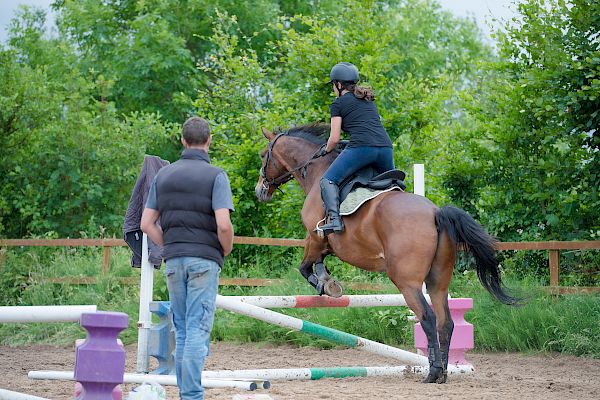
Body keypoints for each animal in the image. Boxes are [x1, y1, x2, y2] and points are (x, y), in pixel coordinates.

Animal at [255, 123, 516, 382]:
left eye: (263, 156)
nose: (260, 191)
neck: (318, 170)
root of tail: (436, 213)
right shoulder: (324, 244)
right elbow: (318, 262)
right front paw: (327, 281)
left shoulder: (315, 236)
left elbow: (305, 266)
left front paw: (325, 285)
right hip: (438, 281)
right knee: (445, 322)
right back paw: (442, 372)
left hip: (407, 282)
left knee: (428, 318)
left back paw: (432, 373)